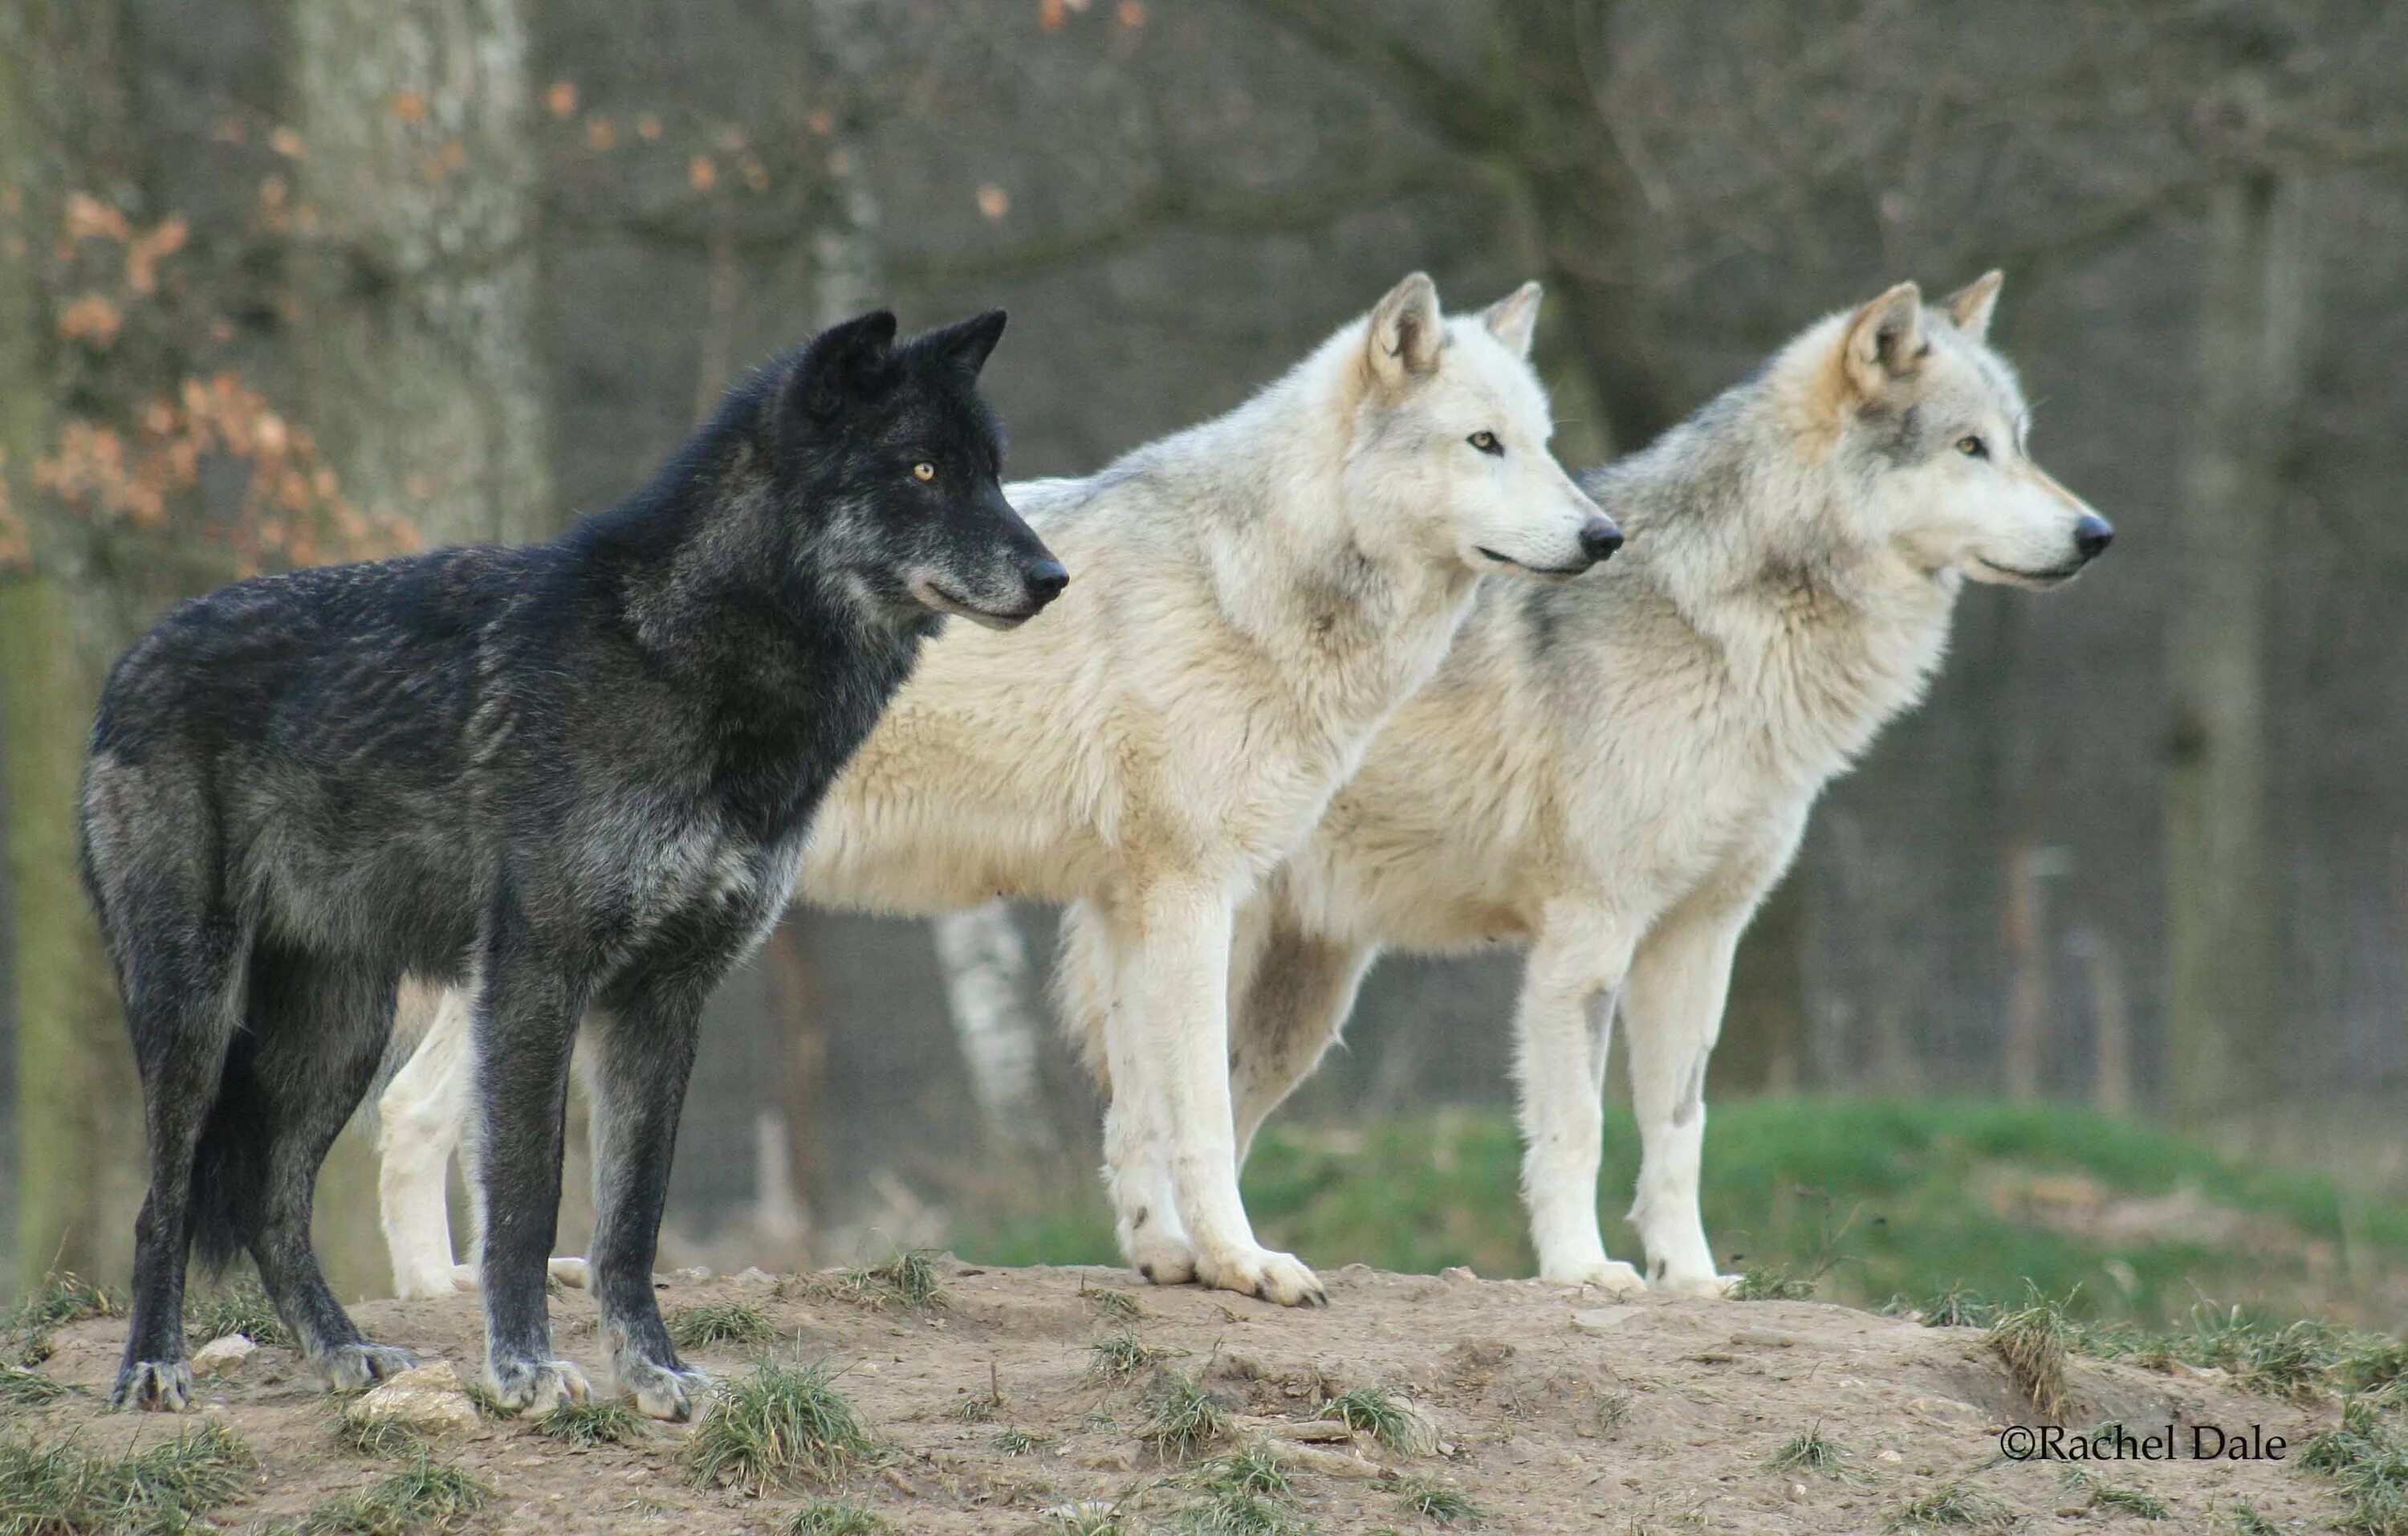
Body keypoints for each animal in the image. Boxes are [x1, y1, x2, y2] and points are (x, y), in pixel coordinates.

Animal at [79, 303, 1060, 1425]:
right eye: (925, 470)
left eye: (993, 473)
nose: (1052, 578)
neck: (686, 656)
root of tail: (132, 657)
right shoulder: (536, 978)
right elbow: (528, 1199)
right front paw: (523, 1368)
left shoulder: (665, 999)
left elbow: (631, 1219)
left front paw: (655, 1370)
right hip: (196, 1012)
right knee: (166, 1199)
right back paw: (154, 1365)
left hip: (341, 1032)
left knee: (271, 1202)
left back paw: (345, 1349)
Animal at [371, 274, 1618, 1310]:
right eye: (1484, 443)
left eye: (1546, 445)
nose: (1604, 534)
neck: (1256, 583)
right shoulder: (1190, 894)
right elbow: (1201, 1115)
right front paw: (1244, 1263)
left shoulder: (1127, 903)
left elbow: (1140, 1112)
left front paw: (1166, 1254)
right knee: (411, 1111)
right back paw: (440, 1295)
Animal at [1064, 274, 2119, 1300]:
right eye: (1971, 447)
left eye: (2021, 442)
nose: (2098, 531)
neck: (1724, 627)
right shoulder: (1589, 932)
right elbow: (1578, 1126)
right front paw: (1581, 1268)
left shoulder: (1701, 936)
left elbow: (1679, 1130)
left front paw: (1688, 1277)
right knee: (1147, 1111)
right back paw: (1196, 1256)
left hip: (1299, 1009)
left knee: (1193, 1114)